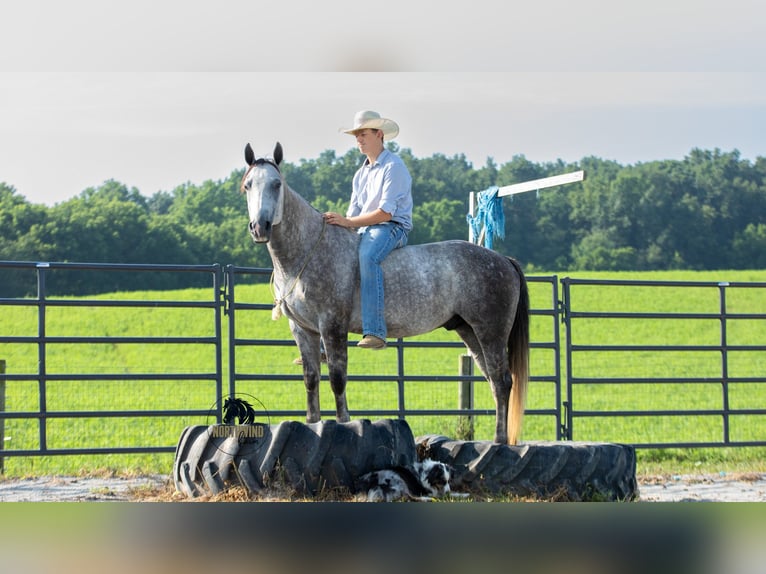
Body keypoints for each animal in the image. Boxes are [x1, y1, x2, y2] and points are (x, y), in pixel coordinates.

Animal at [241, 142, 530, 445]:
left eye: (276, 184)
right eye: (248, 185)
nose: (260, 227)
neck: (309, 251)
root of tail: (503, 260)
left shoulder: (332, 325)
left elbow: (337, 377)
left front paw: (344, 424)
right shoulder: (302, 329)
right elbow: (311, 379)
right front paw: (312, 425)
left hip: (491, 332)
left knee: (502, 380)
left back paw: (500, 441)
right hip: (470, 331)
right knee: (493, 380)